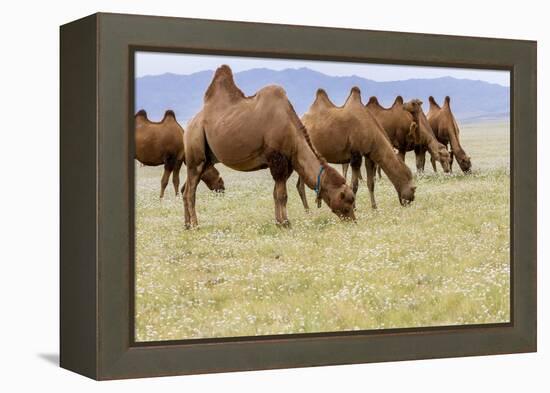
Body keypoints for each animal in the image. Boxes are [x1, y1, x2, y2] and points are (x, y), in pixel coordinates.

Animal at [184, 65, 358, 227]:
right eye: (347, 201)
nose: (353, 220)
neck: (293, 133)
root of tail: (190, 123)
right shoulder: (277, 160)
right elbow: (282, 195)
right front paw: (286, 223)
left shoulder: (286, 163)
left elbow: (276, 194)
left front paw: (279, 222)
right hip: (195, 150)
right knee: (190, 192)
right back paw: (195, 225)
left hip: (207, 160)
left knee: (186, 189)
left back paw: (186, 225)